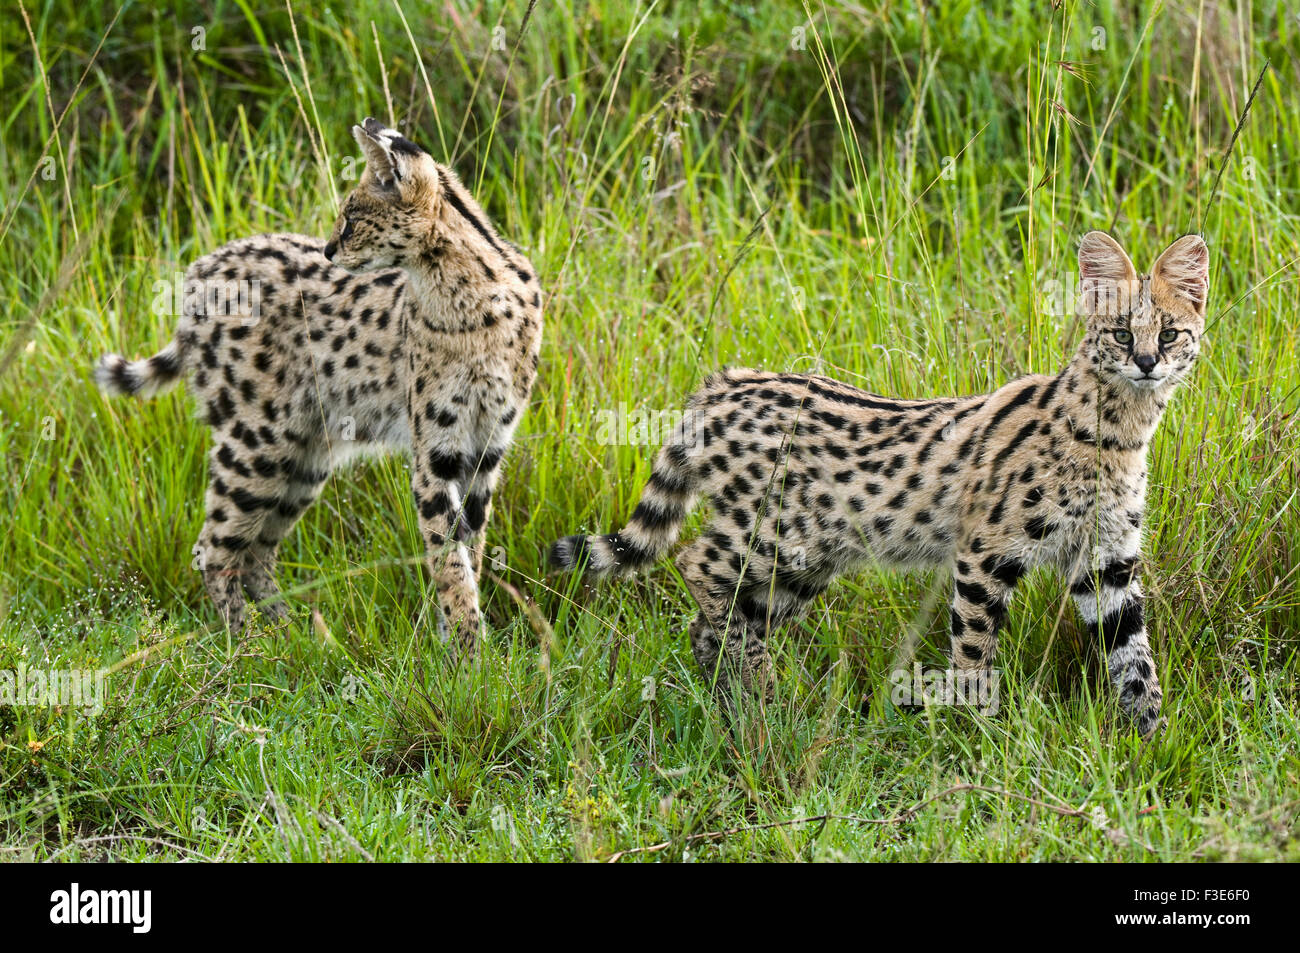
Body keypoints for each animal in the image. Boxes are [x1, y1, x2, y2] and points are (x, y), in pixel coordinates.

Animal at [96, 115, 540, 642]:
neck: (469, 296)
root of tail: (200, 269)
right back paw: (247, 646)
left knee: (255, 553)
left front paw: (460, 643)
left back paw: (299, 639)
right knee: (213, 549)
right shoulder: (437, 450)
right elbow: (448, 557)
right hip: (257, 442)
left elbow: (468, 548)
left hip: (305, 456)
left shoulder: (485, 450)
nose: (328, 250)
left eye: (352, 217)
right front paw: (468, 648)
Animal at [551, 232, 1206, 738]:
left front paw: (1148, 741)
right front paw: (979, 734)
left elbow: (1135, 657)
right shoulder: (983, 554)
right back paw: (757, 690)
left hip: (806, 561)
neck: (1120, 433)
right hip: (770, 532)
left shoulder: (1107, 560)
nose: (1147, 362)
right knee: (697, 564)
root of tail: (725, 382)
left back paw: (733, 695)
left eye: (1170, 334)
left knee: (723, 616)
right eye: (1120, 334)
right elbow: (974, 651)